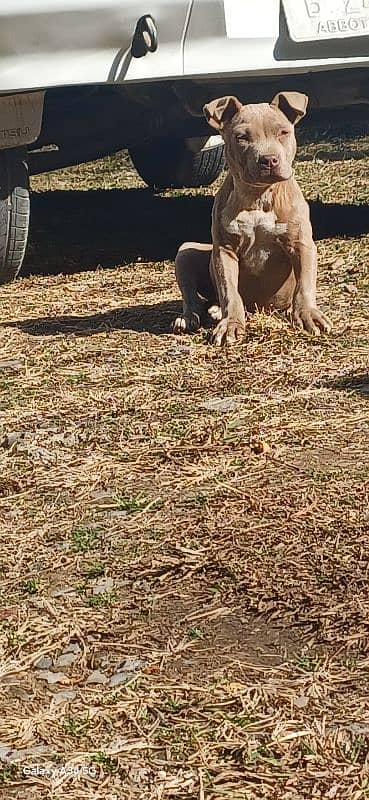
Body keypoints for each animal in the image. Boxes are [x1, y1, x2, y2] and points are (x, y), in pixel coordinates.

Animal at [172, 92, 330, 346]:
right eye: (242, 137)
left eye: (283, 132)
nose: (269, 160)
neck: (259, 195)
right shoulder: (224, 251)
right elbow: (230, 292)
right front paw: (231, 324)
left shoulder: (301, 244)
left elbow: (305, 284)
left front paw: (307, 315)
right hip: (185, 252)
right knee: (193, 298)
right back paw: (190, 318)